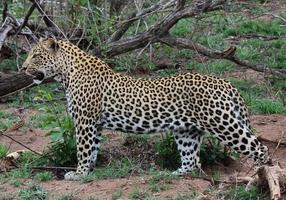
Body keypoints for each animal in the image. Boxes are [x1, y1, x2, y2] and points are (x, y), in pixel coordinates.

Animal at [21, 37, 272, 180]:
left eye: (36, 55)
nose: (23, 68)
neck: (66, 73)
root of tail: (226, 83)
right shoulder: (95, 124)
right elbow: (92, 150)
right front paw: (88, 173)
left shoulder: (84, 120)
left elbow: (82, 149)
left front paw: (78, 173)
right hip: (187, 131)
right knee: (192, 161)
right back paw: (174, 174)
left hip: (223, 124)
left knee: (260, 149)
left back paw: (259, 177)